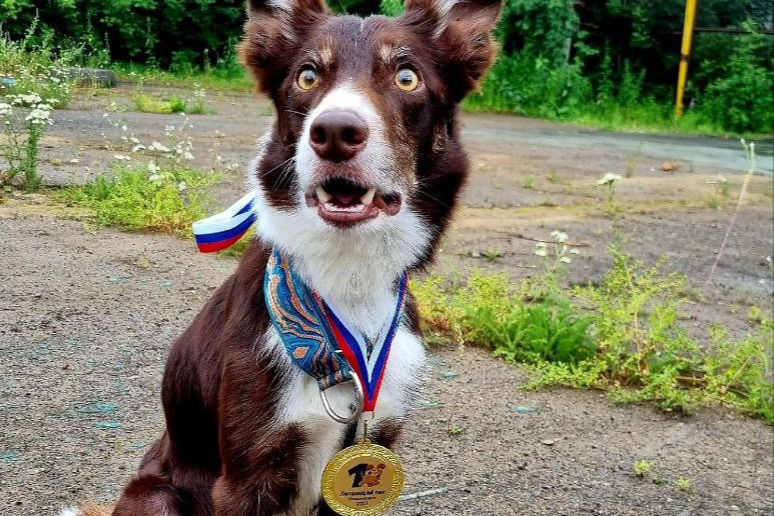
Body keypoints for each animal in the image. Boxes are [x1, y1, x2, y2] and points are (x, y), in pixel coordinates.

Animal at [59, 0, 498, 512]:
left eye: (407, 77)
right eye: (307, 76)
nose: (334, 131)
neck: (346, 278)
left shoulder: (374, 448)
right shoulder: (247, 474)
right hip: (157, 496)